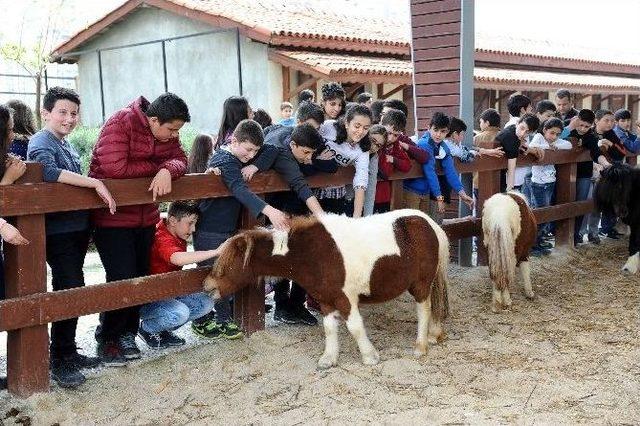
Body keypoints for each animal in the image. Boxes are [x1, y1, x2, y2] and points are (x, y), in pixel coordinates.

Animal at [205, 208, 450, 368]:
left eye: (228, 264)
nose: (208, 286)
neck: (314, 253)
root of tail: (429, 223)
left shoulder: (345, 299)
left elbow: (355, 327)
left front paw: (370, 357)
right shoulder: (325, 301)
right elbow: (330, 328)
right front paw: (329, 359)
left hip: (420, 284)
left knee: (424, 310)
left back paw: (420, 346)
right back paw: (433, 335)